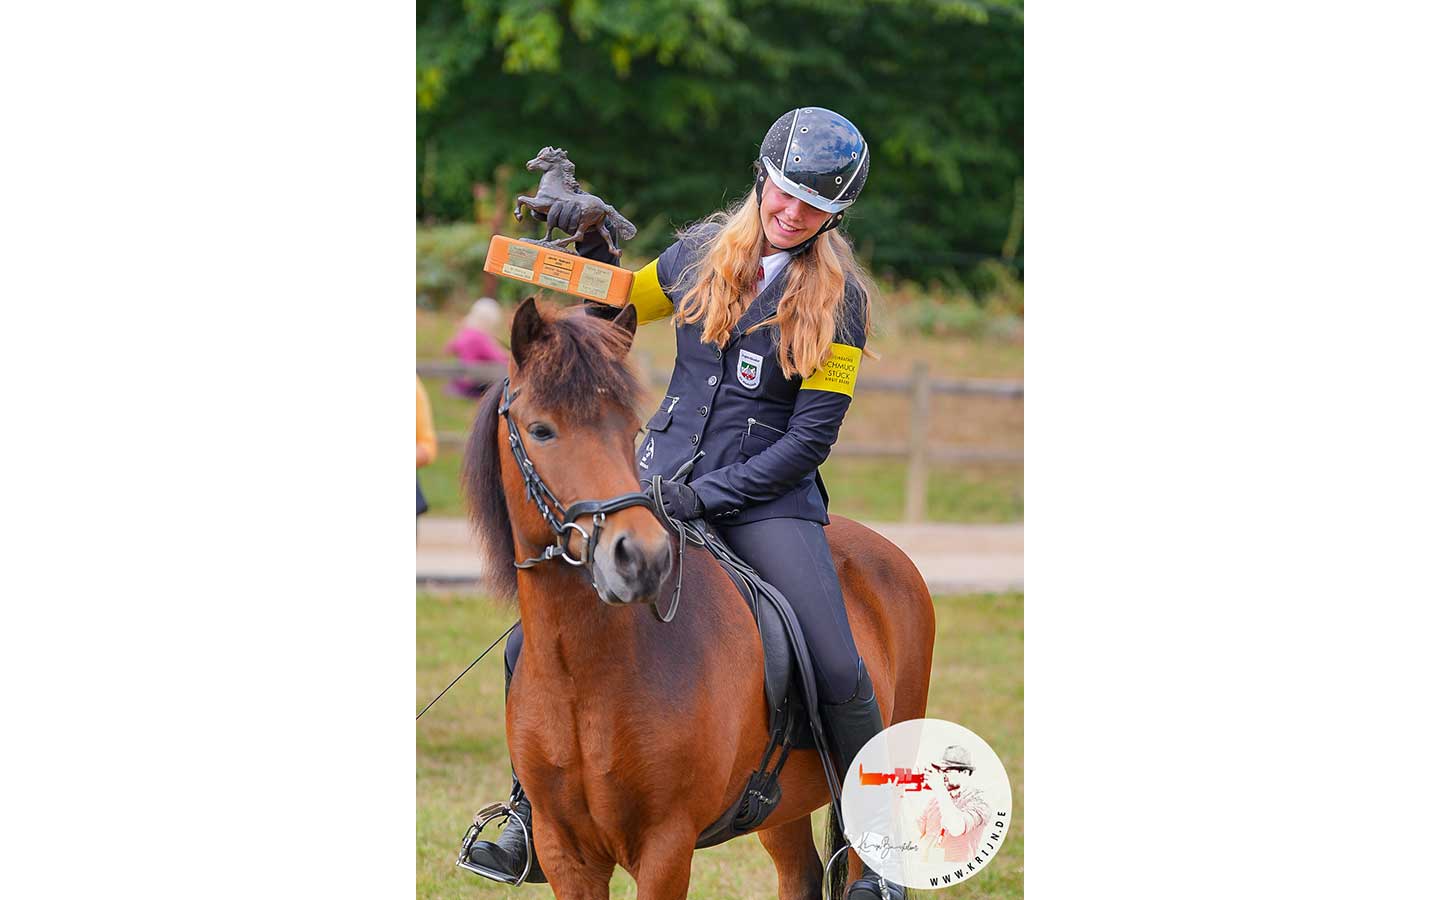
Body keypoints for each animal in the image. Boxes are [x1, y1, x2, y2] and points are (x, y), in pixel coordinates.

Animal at [463, 297, 936, 899]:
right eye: (541, 430)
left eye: (630, 428)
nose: (640, 557)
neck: (589, 675)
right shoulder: (564, 849)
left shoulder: (666, 848)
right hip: (780, 807)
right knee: (800, 874)